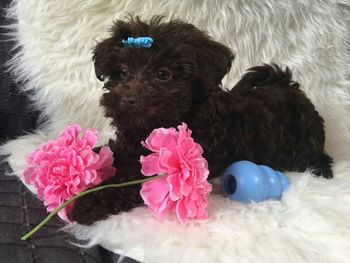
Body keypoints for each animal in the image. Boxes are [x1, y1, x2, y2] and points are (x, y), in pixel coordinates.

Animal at [70, 16, 330, 226]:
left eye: (163, 74)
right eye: (123, 72)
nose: (127, 99)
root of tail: (289, 87)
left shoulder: (169, 169)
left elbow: (128, 181)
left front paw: (88, 201)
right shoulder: (127, 145)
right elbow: (108, 153)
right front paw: (80, 161)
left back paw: (320, 169)